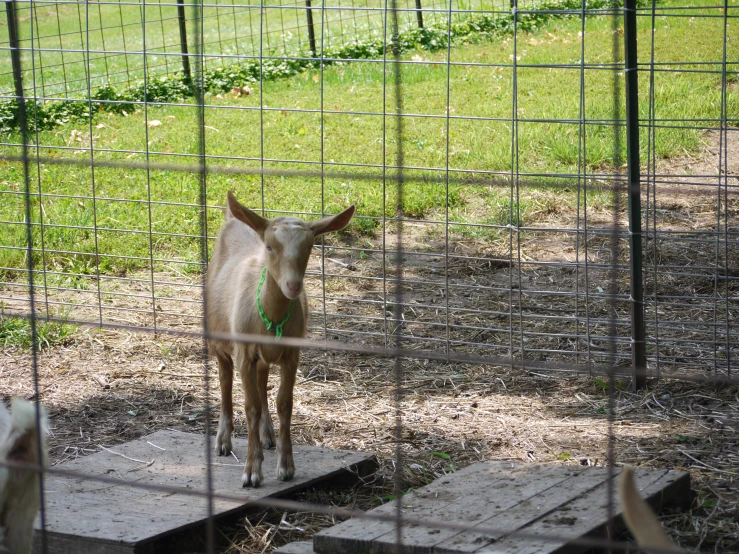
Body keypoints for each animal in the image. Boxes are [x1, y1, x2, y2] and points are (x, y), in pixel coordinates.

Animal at [207, 192, 356, 486]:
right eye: (269, 246)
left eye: (309, 247)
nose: (293, 286)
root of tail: (233, 218)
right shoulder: (244, 353)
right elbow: (250, 406)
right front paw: (252, 471)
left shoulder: (291, 355)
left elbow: (283, 403)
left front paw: (286, 466)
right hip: (218, 341)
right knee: (225, 381)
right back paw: (223, 441)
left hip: (263, 356)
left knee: (262, 381)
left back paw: (267, 436)